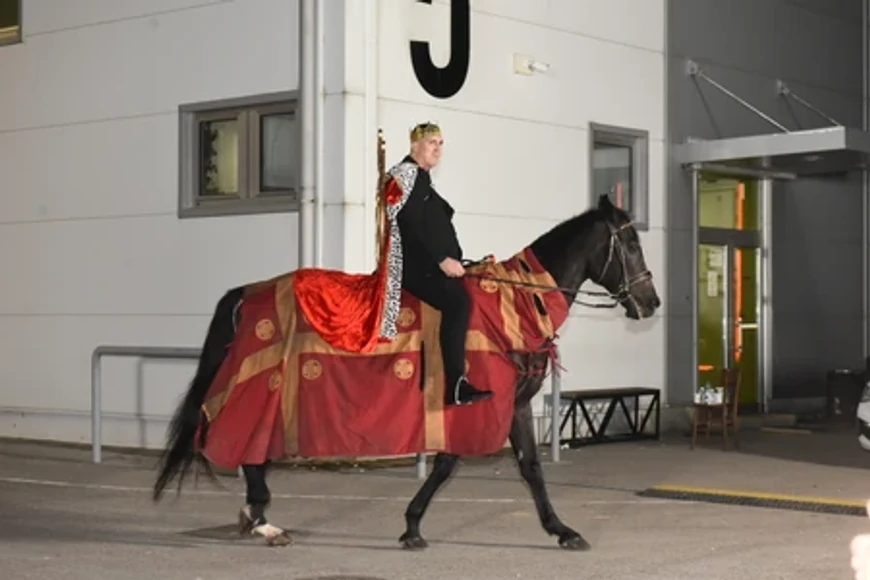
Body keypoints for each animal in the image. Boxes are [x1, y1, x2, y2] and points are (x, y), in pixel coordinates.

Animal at [153, 194, 664, 548]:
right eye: (630, 243)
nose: (651, 302)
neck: (516, 303)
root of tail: (247, 293)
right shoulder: (473, 404)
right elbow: (447, 463)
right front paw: (412, 526)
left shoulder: (515, 405)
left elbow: (531, 467)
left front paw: (561, 530)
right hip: (264, 388)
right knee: (248, 447)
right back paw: (263, 521)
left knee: (252, 452)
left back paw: (256, 516)